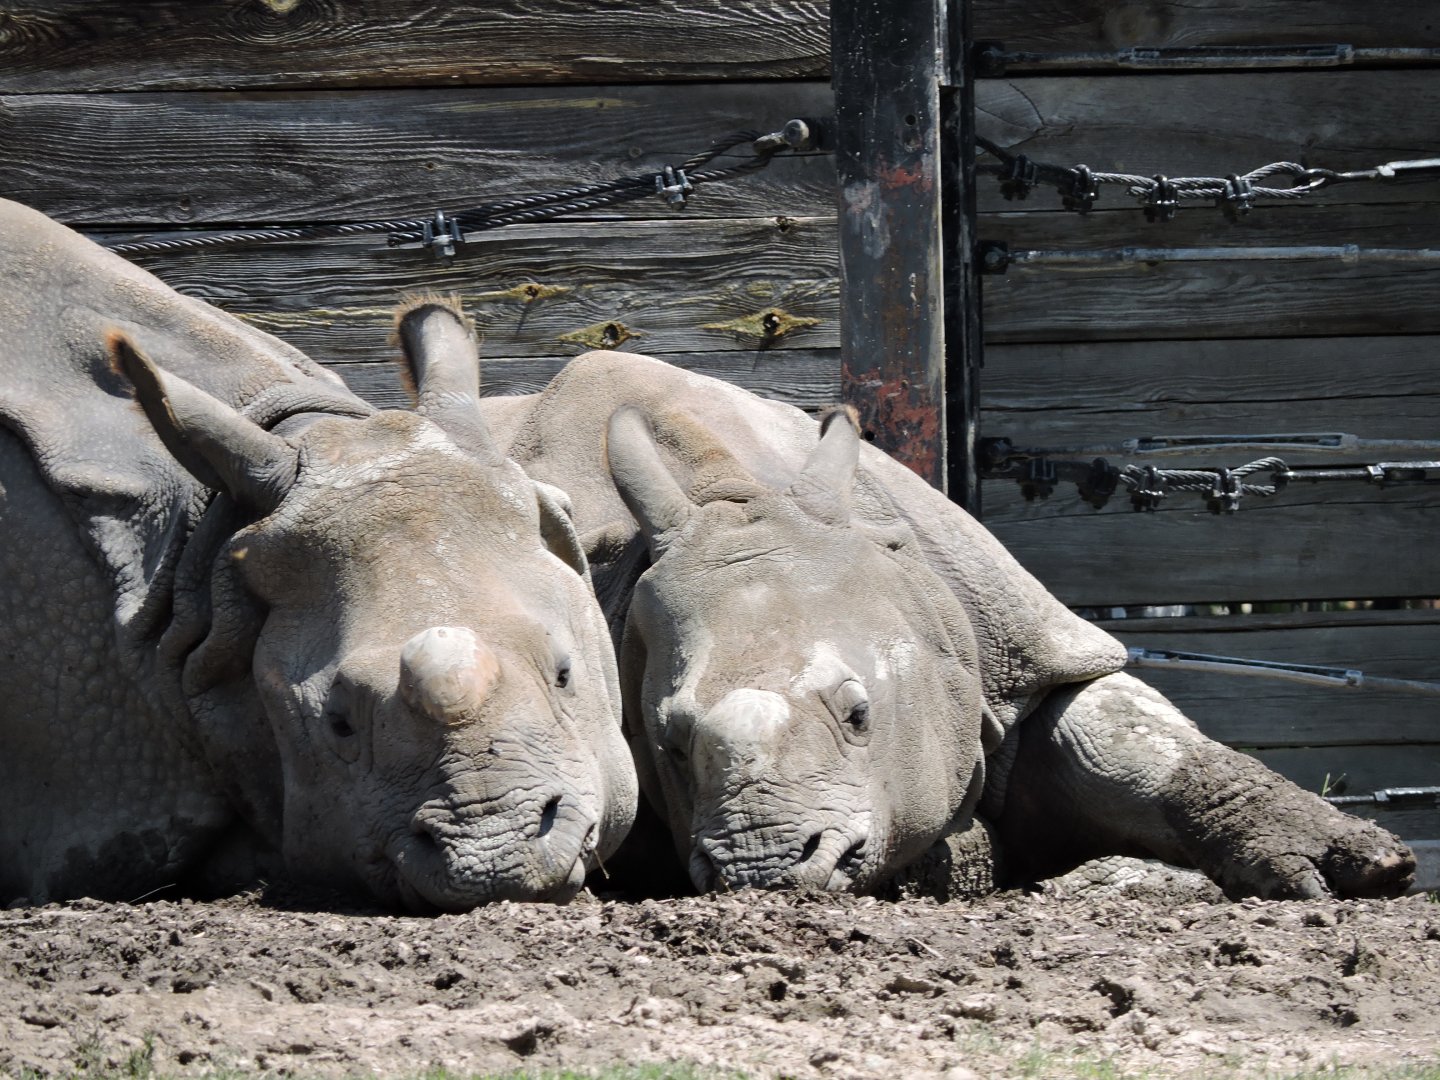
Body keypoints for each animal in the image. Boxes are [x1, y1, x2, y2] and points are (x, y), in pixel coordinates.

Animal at [464, 347, 1415, 901]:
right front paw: (960, 858)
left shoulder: (1023, 652)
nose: (762, 870)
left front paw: (1358, 869)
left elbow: (1125, 739)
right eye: (664, 742)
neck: (732, 488)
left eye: (860, 715)